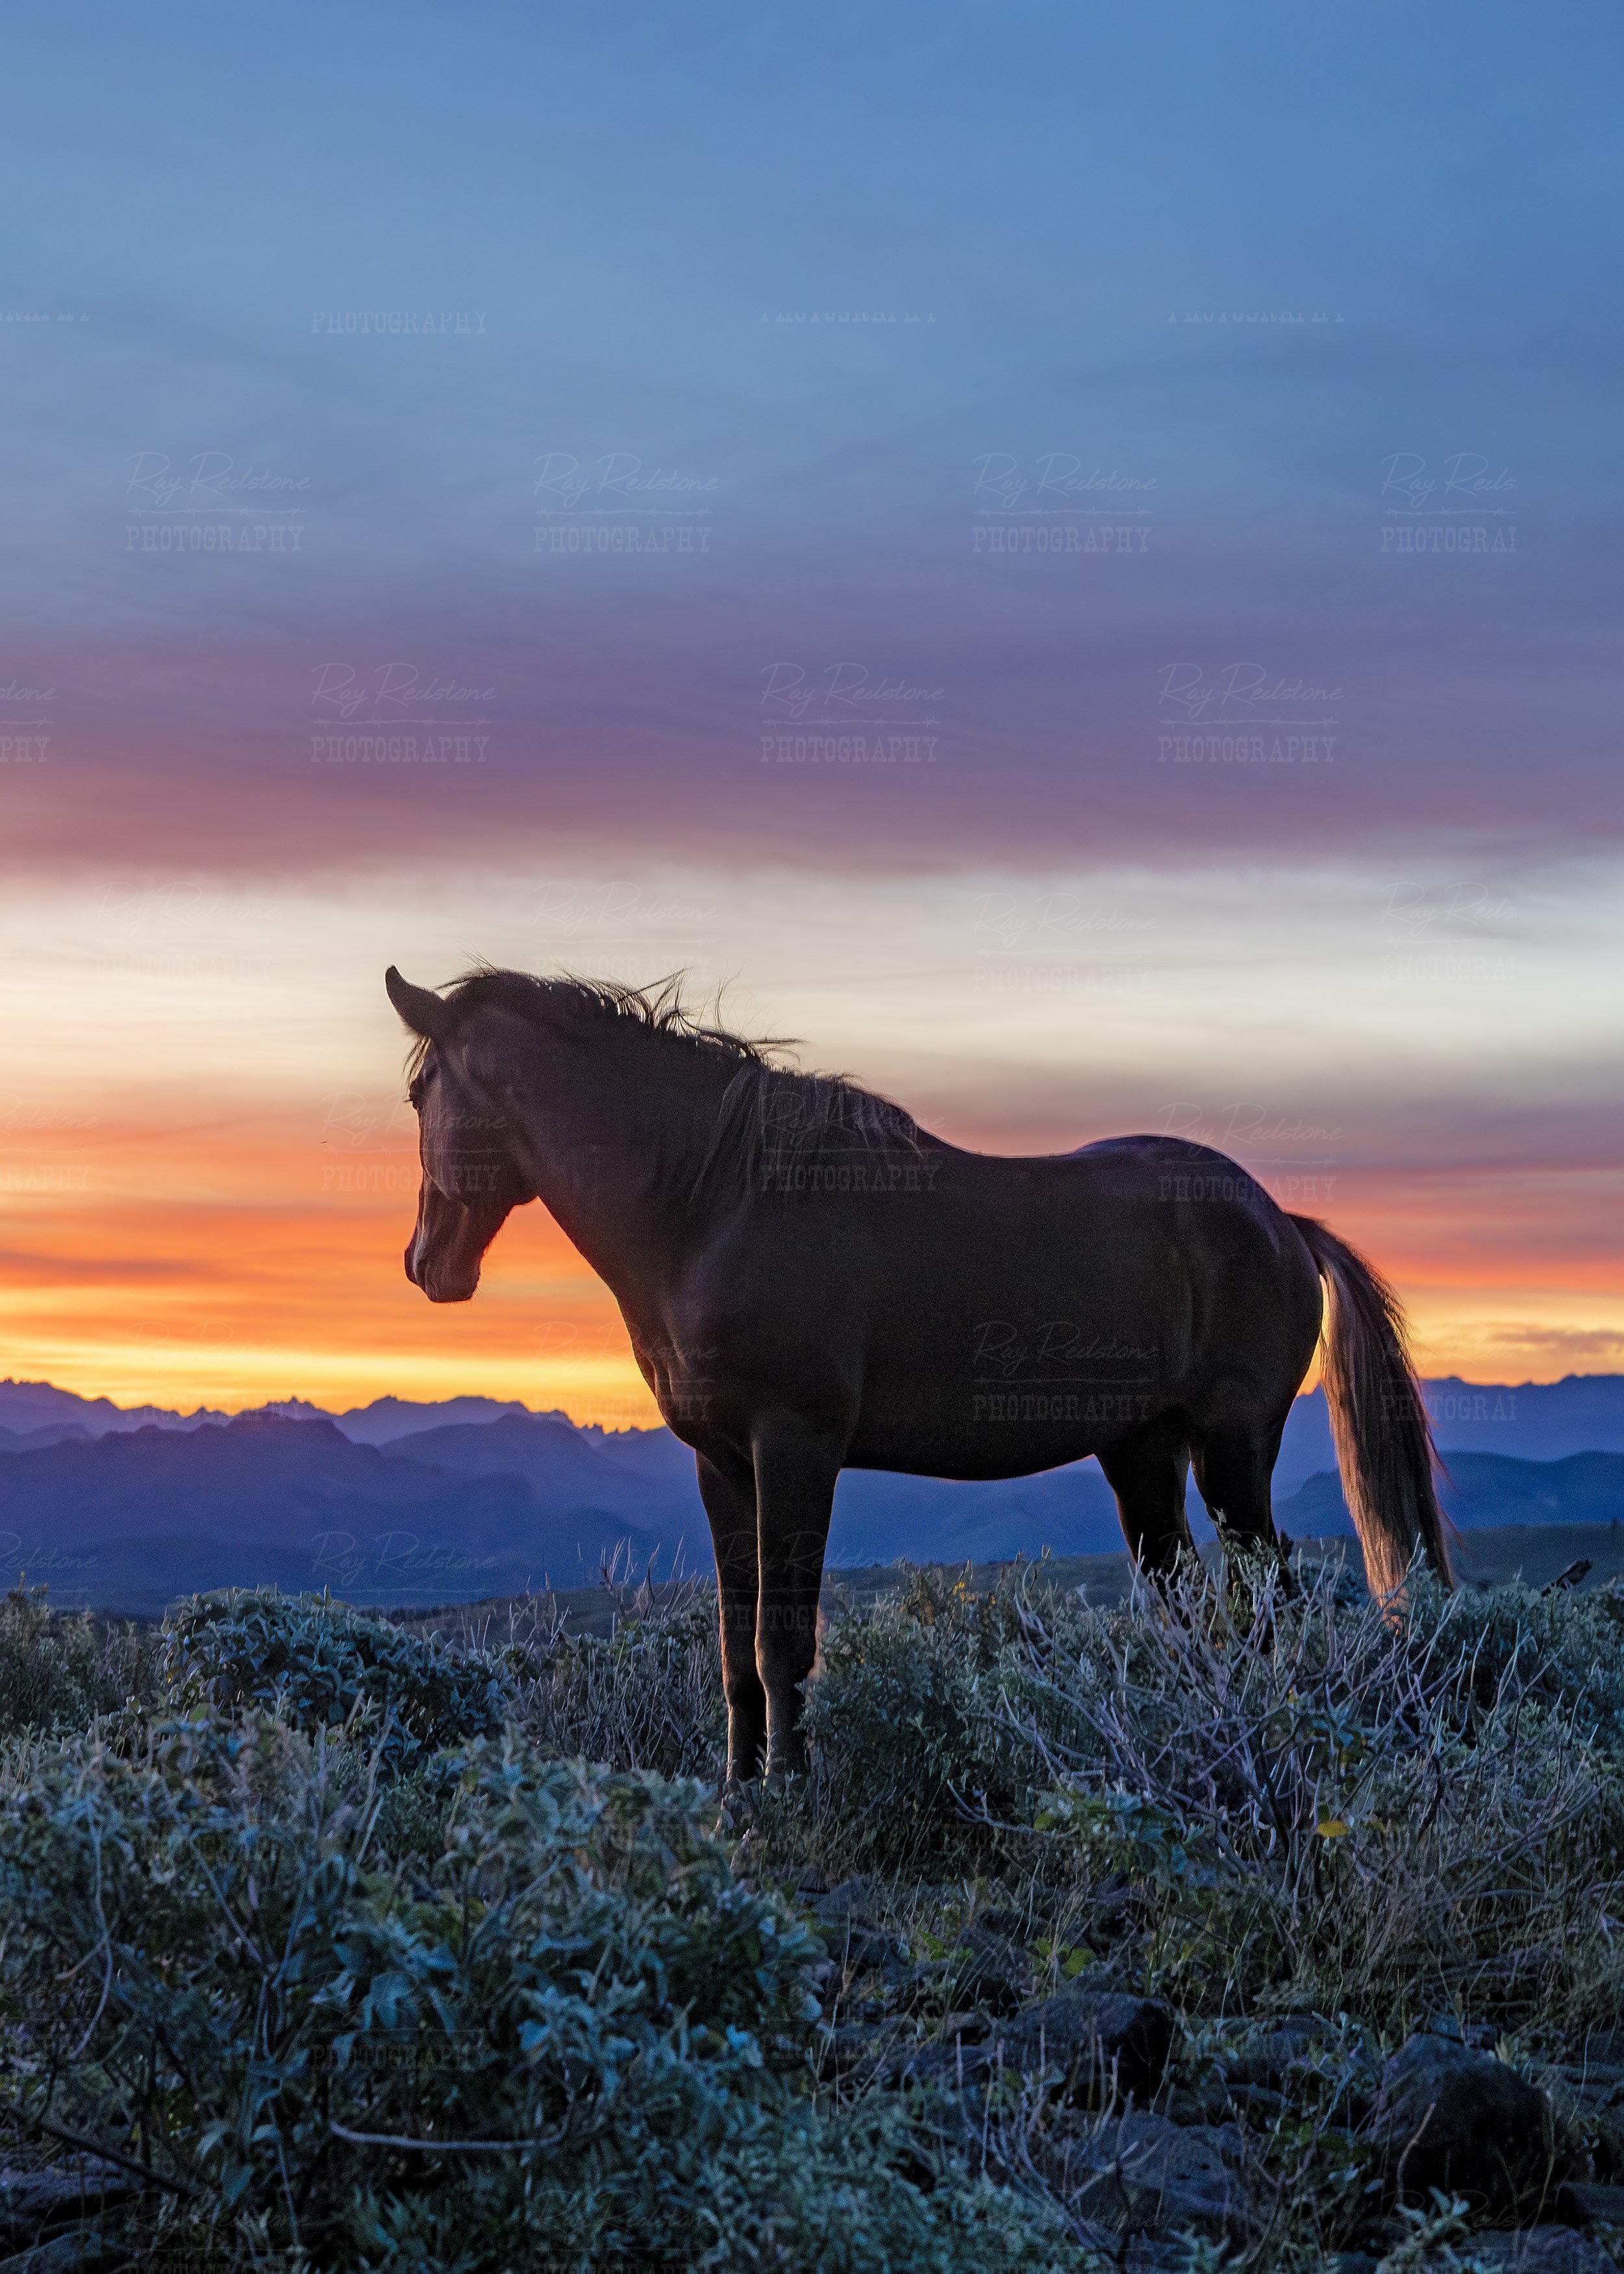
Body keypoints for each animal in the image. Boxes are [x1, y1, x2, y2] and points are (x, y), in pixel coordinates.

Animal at [384, 964, 1452, 1785]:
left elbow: (782, 1639)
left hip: (1233, 1453)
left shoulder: (795, 1446)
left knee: (1264, 1603)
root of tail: (1280, 1220)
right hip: (1143, 1458)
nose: (426, 1266)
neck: (713, 1207)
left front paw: (790, 1799)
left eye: (419, 1095)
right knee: (1191, 1608)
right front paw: (735, 1796)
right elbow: (734, 1647)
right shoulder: (721, 1463)